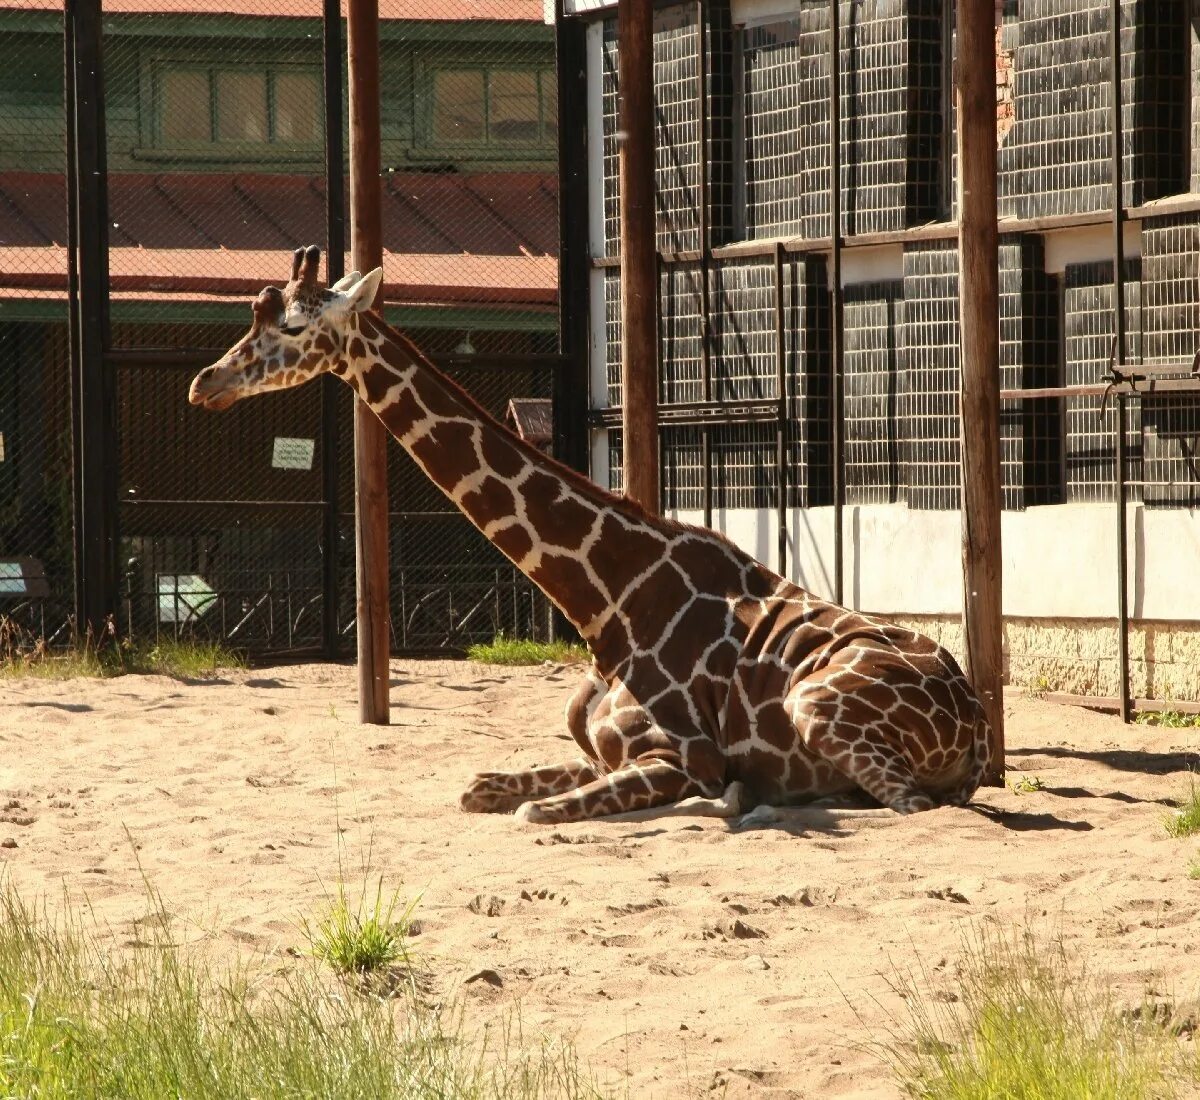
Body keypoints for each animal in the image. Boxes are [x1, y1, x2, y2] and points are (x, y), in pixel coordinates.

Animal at [189, 247, 993, 825]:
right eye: (251, 318)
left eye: (292, 328)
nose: (205, 384)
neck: (605, 600)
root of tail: (979, 724)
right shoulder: (601, 753)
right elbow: (481, 788)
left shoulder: (680, 757)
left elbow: (538, 812)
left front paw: (727, 799)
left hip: (815, 705)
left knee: (914, 807)